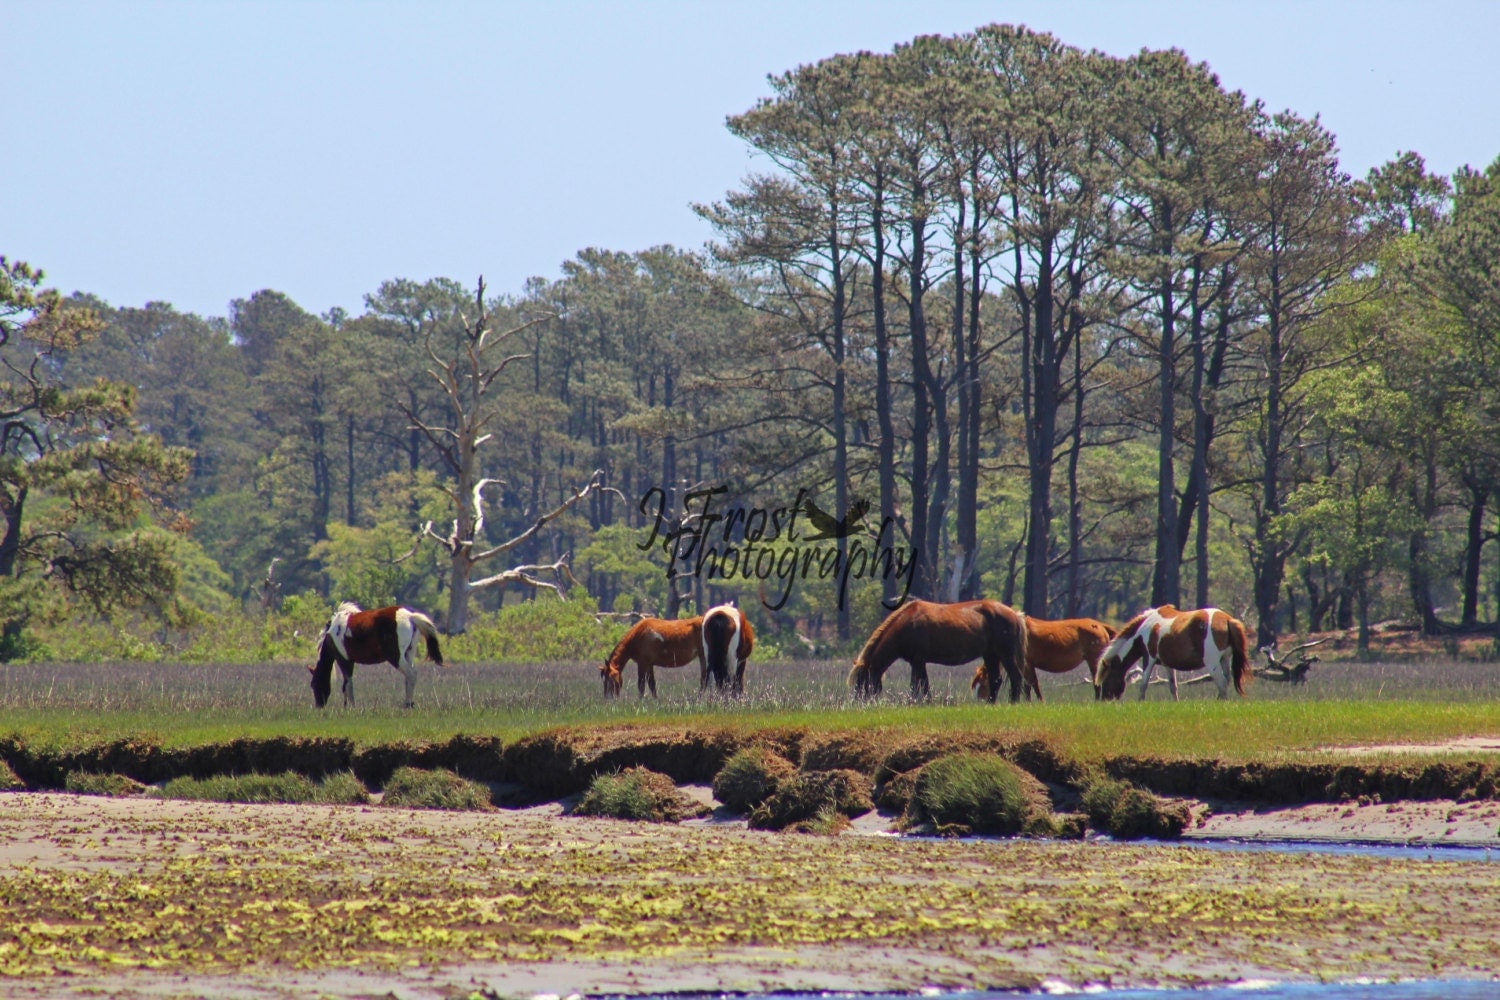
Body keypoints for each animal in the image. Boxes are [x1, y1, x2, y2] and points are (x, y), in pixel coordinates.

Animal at [309, 602, 444, 709]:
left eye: (313, 684)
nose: (319, 706)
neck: (332, 633)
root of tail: (410, 616)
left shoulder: (345, 660)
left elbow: (347, 684)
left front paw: (350, 707)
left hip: (396, 657)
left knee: (411, 674)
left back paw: (408, 705)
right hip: (409, 653)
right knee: (409, 676)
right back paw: (409, 704)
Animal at [850, 599, 1027, 703]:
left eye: (861, 681)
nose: (858, 703)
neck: (906, 624)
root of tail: (1015, 614)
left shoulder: (918, 661)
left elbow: (918, 686)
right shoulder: (918, 663)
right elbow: (921, 685)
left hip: (1005, 655)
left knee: (1016, 677)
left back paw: (1013, 702)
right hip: (990, 655)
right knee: (996, 679)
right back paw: (990, 703)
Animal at [970, 616, 1117, 702]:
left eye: (983, 684)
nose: (980, 702)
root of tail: (1101, 626)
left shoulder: (1028, 665)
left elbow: (1033, 685)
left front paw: (1038, 702)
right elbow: (1027, 686)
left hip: (1094, 661)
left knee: (1097, 683)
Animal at [1095, 605, 1250, 701]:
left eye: (1106, 678)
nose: (1105, 699)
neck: (1143, 630)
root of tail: (1227, 619)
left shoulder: (1149, 659)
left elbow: (1144, 684)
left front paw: (1140, 702)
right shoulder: (1167, 664)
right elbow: (1173, 686)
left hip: (1212, 663)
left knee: (1222, 684)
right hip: (1224, 659)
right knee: (1226, 680)